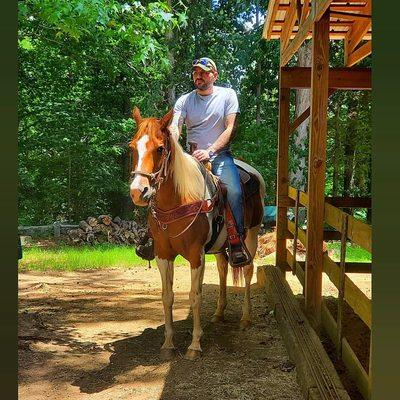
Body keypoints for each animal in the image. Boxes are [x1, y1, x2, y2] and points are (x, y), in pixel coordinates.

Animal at [129, 106, 266, 360]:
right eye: (132, 147)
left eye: (160, 148)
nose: (138, 191)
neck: (179, 200)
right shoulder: (163, 254)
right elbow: (167, 296)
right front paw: (168, 344)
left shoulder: (195, 255)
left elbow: (195, 296)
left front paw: (194, 345)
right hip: (221, 246)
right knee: (222, 269)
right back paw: (219, 314)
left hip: (252, 235)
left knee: (248, 270)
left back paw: (245, 317)